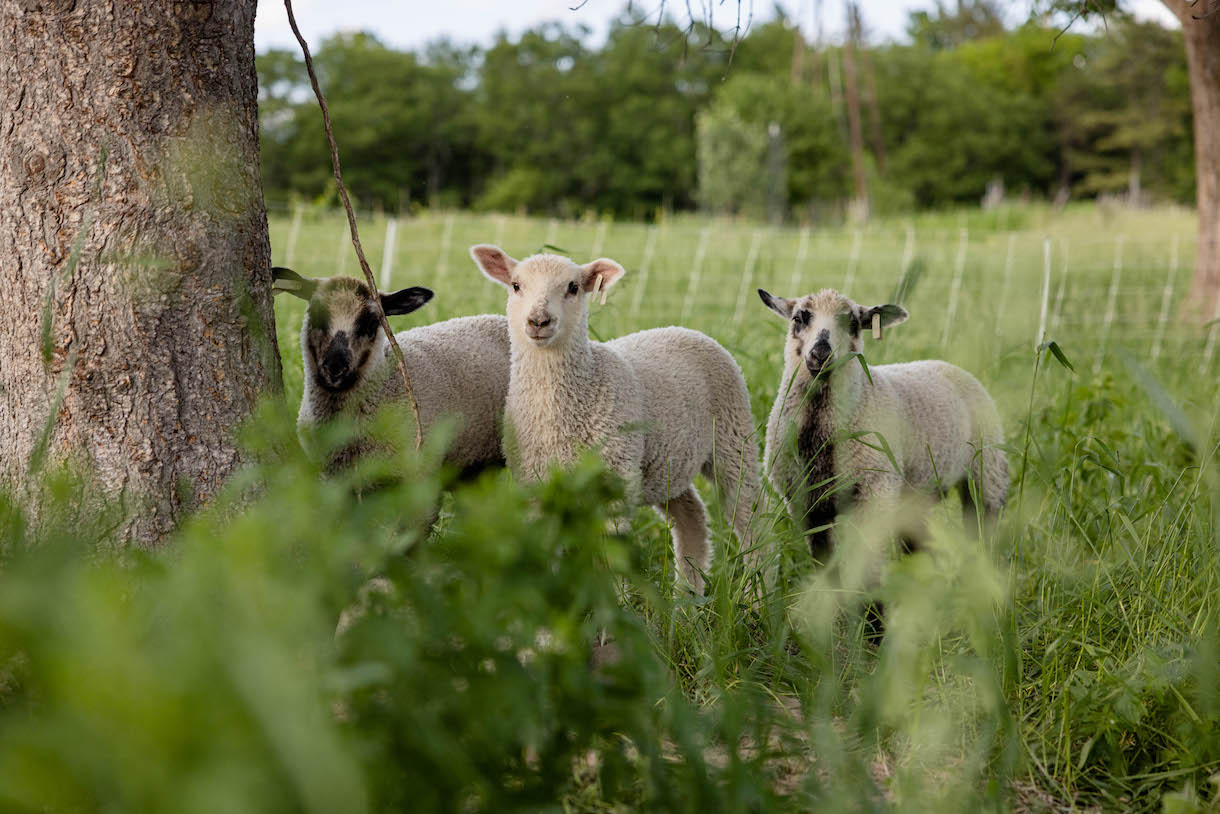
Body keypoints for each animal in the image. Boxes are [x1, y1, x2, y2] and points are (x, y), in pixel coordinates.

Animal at [470, 245, 756, 595]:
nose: (538, 321)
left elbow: (609, 565)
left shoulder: (613, 486)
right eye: (515, 286)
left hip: (734, 439)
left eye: (573, 288)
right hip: (667, 465)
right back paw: (688, 598)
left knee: (753, 522)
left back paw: (758, 597)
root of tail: (683, 328)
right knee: (693, 516)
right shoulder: (537, 488)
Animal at [756, 285, 1005, 561]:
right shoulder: (806, 506)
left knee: (984, 529)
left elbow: (867, 563)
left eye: (853, 322)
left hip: (987, 472)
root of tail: (945, 363)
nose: (821, 353)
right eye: (799, 318)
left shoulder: (876, 495)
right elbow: (824, 562)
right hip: (918, 496)